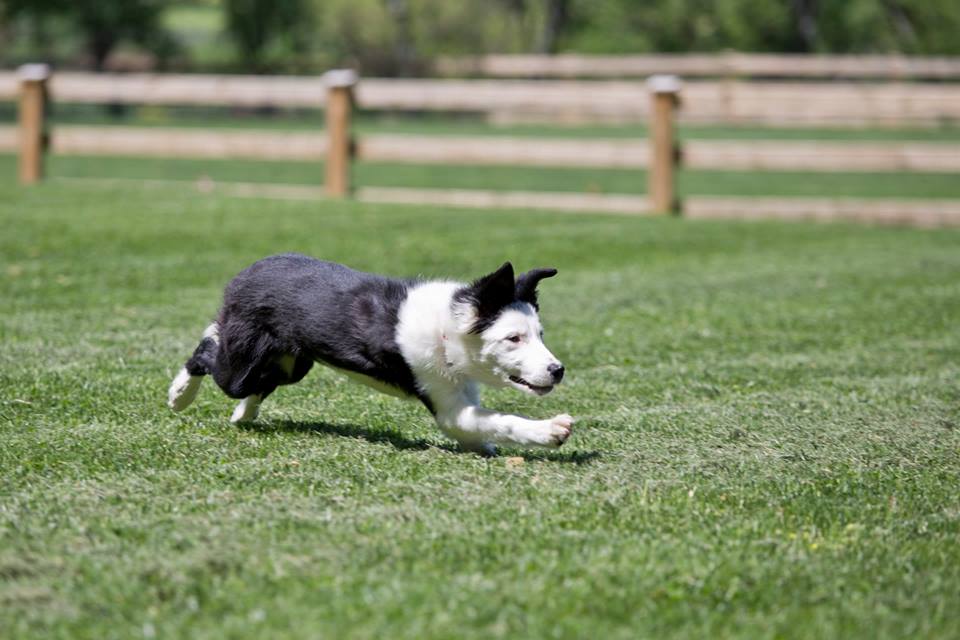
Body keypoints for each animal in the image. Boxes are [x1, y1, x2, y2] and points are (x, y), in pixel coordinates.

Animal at [167, 254, 573, 453]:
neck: (447, 329)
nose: (558, 370)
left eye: (539, 335)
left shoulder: (460, 392)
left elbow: (485, 427)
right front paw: (551, 430)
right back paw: (179, 394)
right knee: (208, 351)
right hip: (242, 364)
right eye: (513, 339)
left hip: (292, 363)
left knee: (256, 380)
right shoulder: (448, 407)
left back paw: (243, 414)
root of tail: (251, 268)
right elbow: (501, 420)